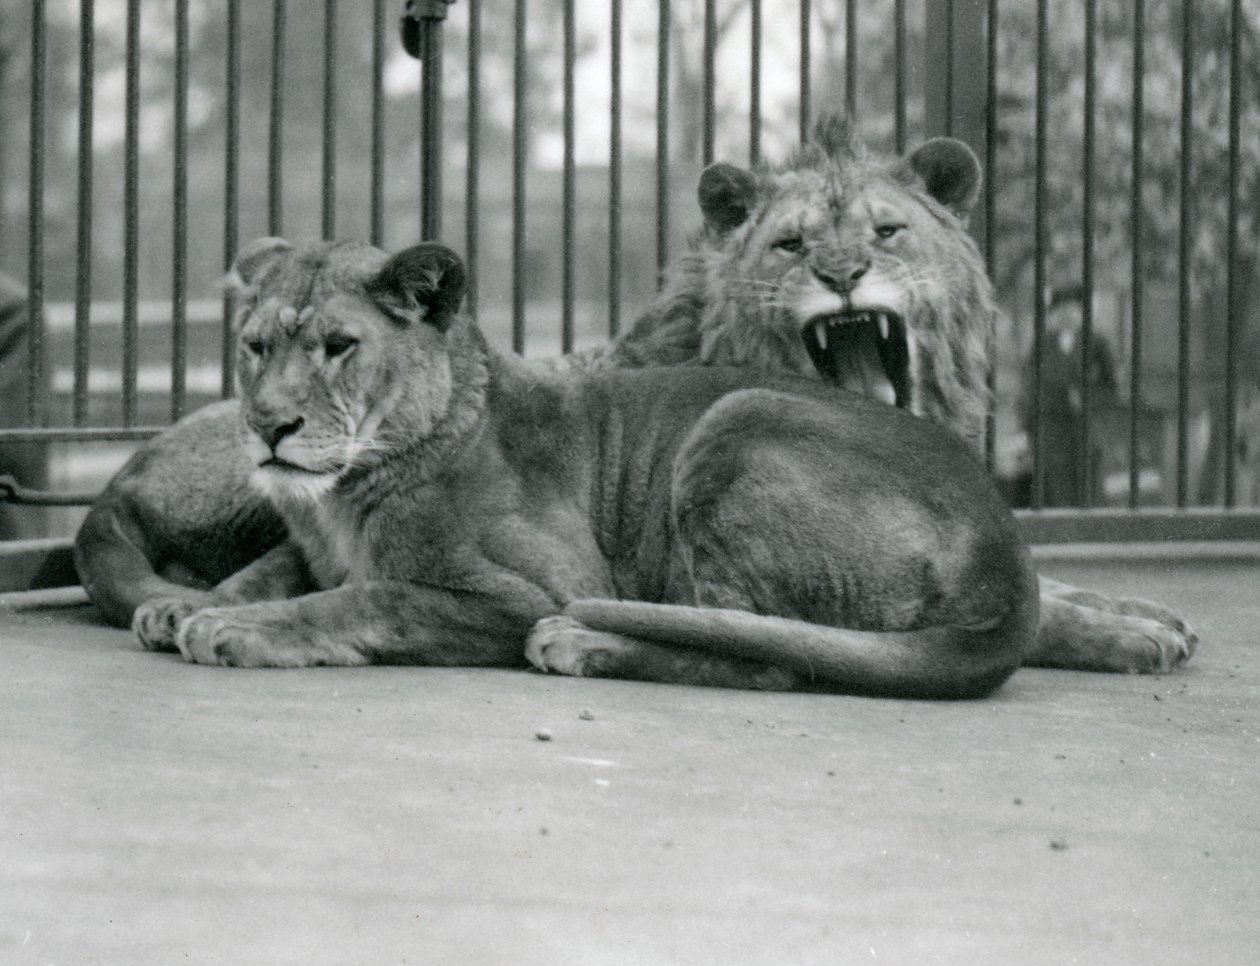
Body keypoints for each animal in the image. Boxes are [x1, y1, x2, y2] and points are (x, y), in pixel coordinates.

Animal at [122, 238, 1038, 700]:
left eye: (340, 347)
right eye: (255, 346)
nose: (268, 426)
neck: (339, 496)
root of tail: (1012, 568)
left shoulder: (530, 585)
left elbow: (369, 597)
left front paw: (239, 627)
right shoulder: (308, 542)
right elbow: (275, 568)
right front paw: (186, 603)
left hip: (736, 417)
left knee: (762, 653)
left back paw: (580, 642)